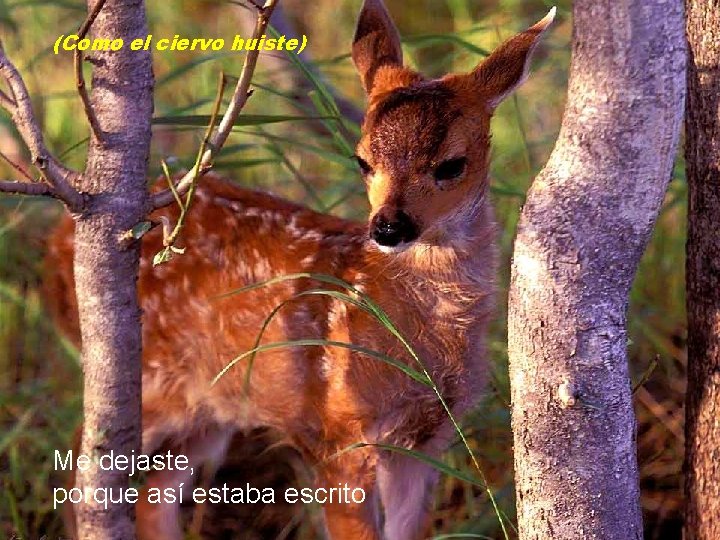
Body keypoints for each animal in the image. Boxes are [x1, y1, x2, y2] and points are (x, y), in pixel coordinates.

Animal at [44, 1, 554, 538]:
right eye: (362, 160)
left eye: (452, 165)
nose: (388, 226)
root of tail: (56, 244)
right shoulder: (338, 433)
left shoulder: (427, 438)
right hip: (149, 383)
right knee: (83, 462)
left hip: (212, 406)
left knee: (153, 490)